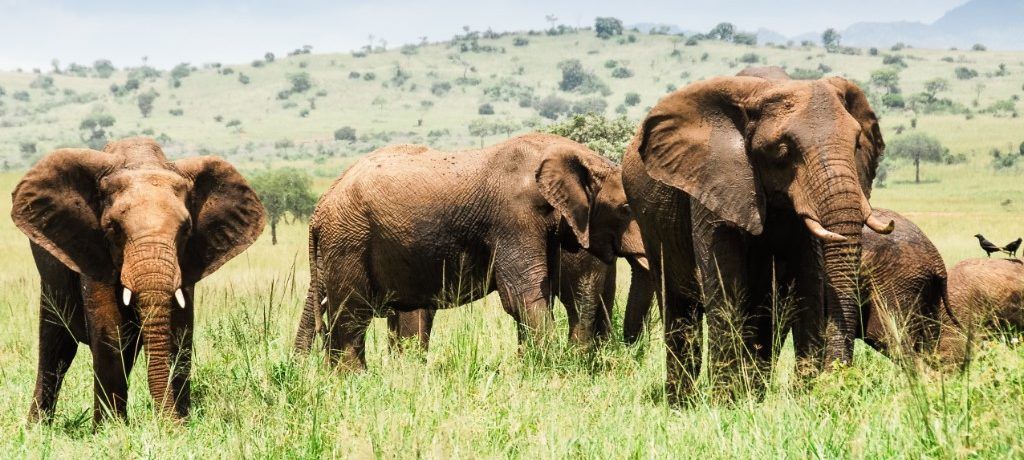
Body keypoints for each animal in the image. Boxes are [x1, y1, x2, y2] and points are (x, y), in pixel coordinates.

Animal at [12, 137, 266, 422]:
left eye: (186, 229)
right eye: (113, 228)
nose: (167, 422)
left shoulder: (186, 261)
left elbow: (179, 332)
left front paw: (182, 424)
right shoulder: (92, 250)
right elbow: (111, 334)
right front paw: (111, 428)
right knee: (56, 348)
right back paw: (37, 426)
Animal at [299, 133, 647, 368]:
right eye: (627, 208)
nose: (629, 348)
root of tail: (320, 207)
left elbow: (537, 293)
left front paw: (532, 367)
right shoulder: (513, 217)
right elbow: (521, 294)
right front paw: (549, 370)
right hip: (348, 239)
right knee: (352, 314)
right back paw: (353, 380)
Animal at [618, 75, 892, 397]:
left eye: (856, 143)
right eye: (783, 151)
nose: (834, 380)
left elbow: (808, 284)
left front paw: (804, 397)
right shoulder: (713, 183)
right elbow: (725, 286)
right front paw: (727, 401)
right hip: (650, 224)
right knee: (678, 307)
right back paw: (682, 400)